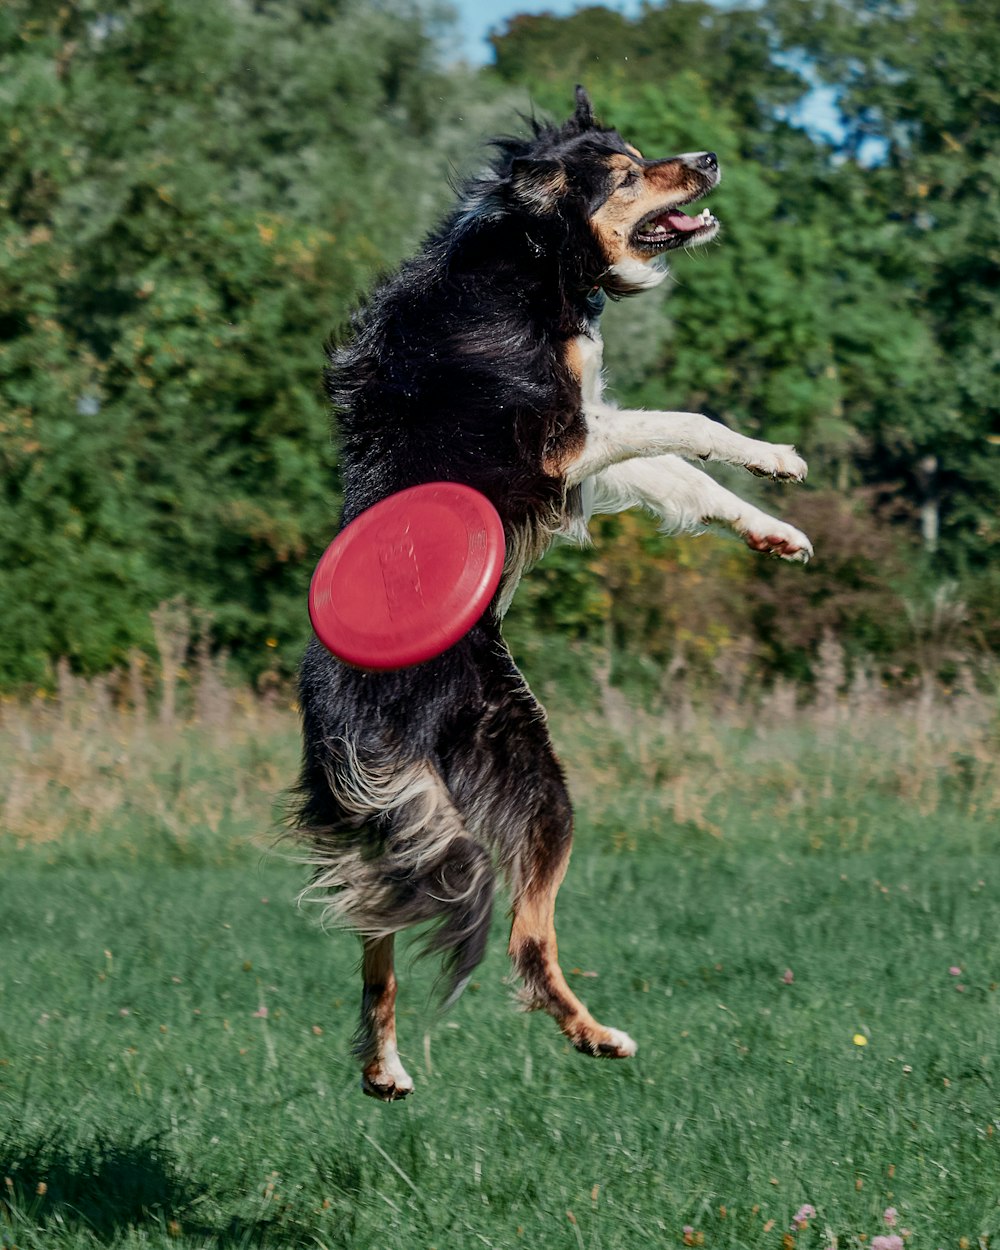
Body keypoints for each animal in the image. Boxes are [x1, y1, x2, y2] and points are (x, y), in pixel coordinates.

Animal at [291, 88, 810, 1100]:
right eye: (629, 172)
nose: (710, 157)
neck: (533, 258)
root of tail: (352, 710)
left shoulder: (589, 448)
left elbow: (683, 478)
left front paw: (775, 528)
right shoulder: (564, 436)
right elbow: (689, 421)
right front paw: (775, 452)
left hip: (397, 819)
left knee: (380, 929)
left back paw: (384, 1067)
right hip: (535, 783)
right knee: (523, 938)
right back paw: (596, 1035)